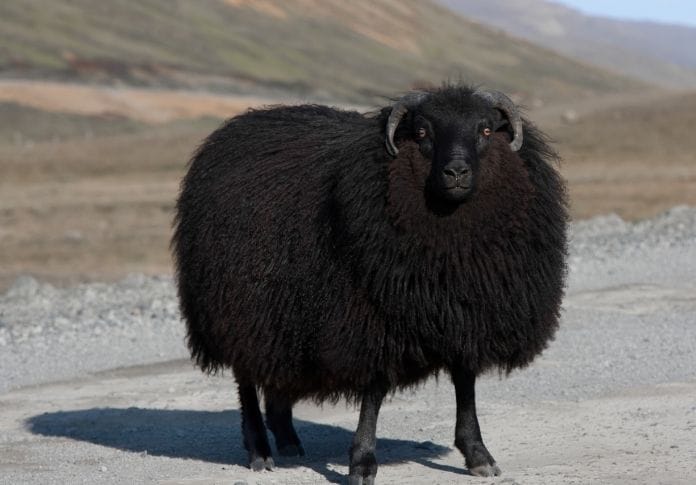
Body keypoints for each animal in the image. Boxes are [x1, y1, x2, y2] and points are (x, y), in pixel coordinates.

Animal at [172, 84, 568, 484]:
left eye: (485, 130)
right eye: (422, 132)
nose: (456, 171)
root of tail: (230, 131)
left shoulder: (464, 314)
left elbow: (465, 381)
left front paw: (477, 453)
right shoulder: (370, 318)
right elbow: (374, 391)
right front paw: (362, 462)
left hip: (280, 318)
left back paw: (287, 439)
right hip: (237, 312)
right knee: (247, 382)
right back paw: (259, 450)